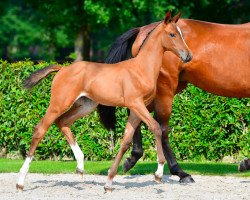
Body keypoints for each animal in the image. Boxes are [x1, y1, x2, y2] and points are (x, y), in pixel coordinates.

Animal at [16, 11, 191, 192]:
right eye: (172, 34)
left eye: (181, 33)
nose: (188, 56)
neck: (141, 69)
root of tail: (62, 68)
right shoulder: (136, 104)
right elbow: (156, 128)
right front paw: (158, 173)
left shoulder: (136, 110)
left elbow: (126, 141)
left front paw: (109, 182)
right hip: (59, 103)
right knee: (40, 130)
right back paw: (20, 182)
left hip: (85, 105)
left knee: (62, 122)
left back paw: (80, 166)